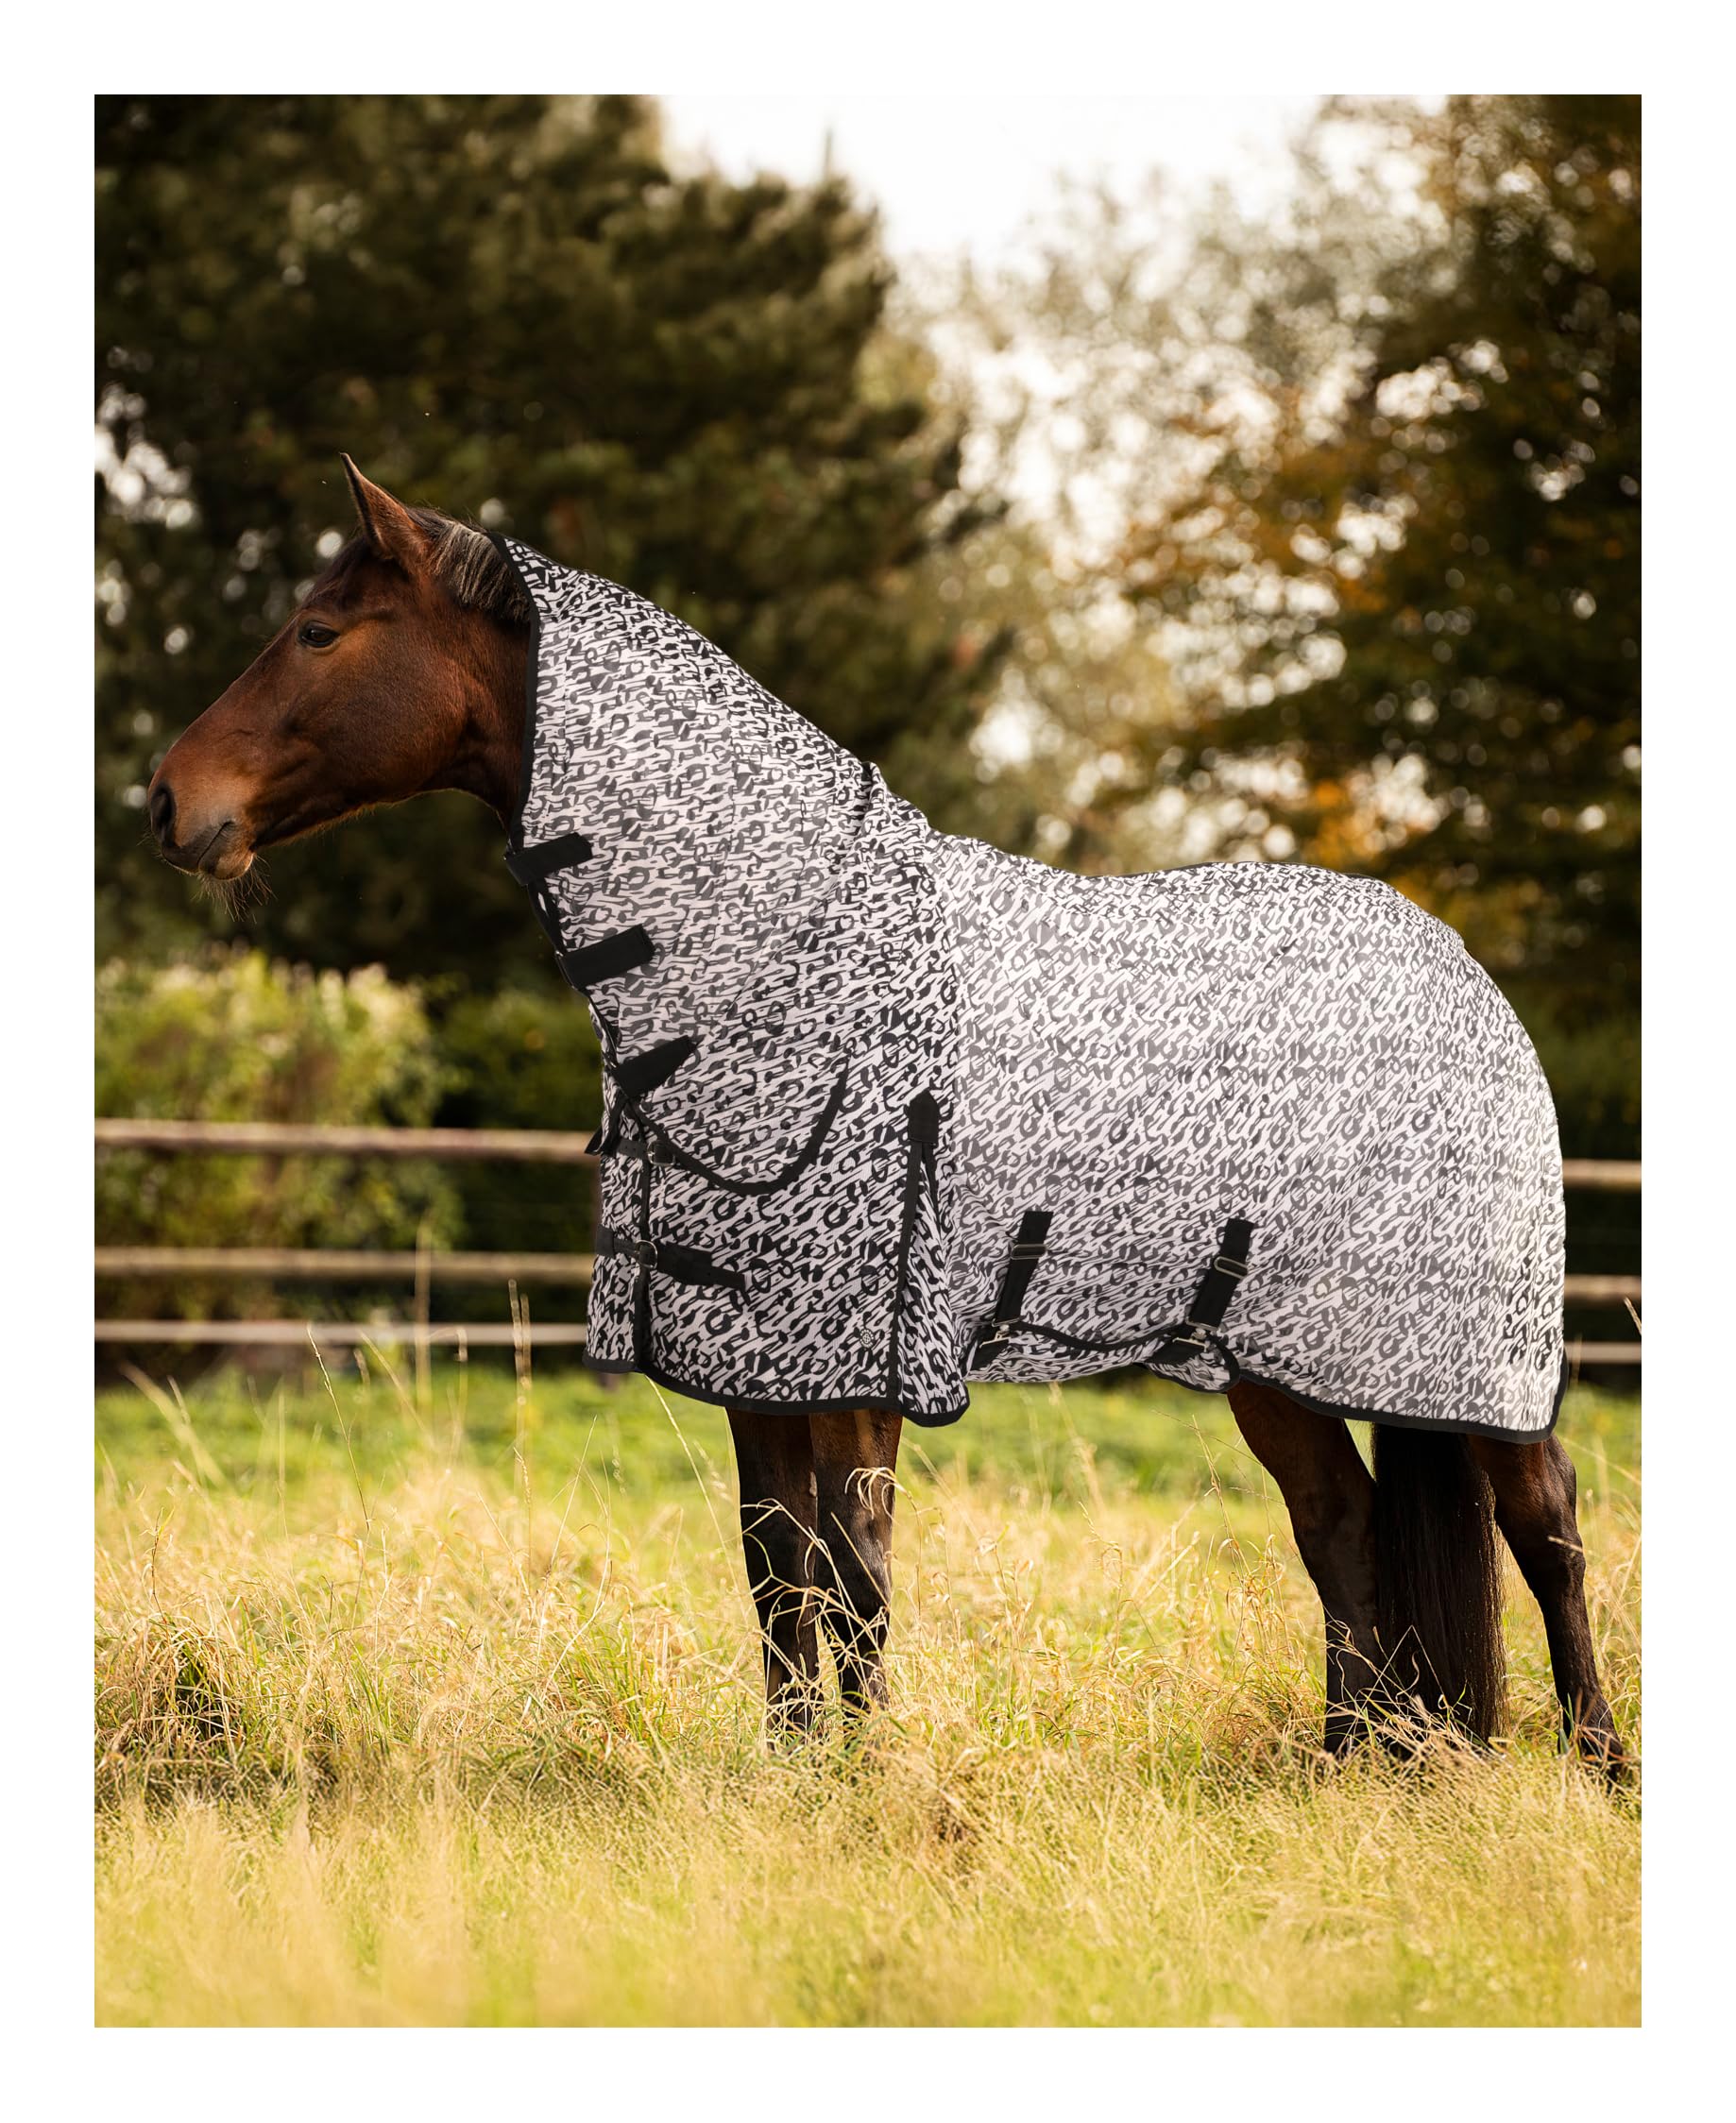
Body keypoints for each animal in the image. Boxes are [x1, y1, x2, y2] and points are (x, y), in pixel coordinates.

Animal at [145, 459, 1628, 1776]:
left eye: (319, 631)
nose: (168, 801)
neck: (780, 960)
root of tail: (1463, 978)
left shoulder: (858, 1364)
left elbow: (855, 1578)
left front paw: (868, 1790)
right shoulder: (753, 1365)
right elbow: (777, 1576)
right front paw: (801, 1781)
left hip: (1470, 1350)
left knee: (1542, 1526)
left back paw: (1593, 1768)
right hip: (1275, 1354)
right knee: (1344, 1529)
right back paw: (1351, 1769)